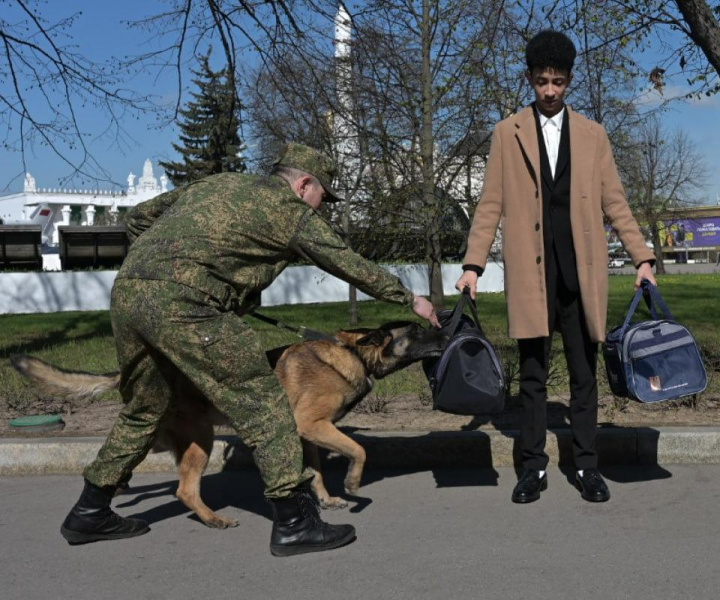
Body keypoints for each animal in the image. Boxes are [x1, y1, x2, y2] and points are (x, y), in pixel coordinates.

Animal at [14, 322, 448, 528]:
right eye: (417, 330)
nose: (445, 329)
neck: (354, 356)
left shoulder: (308, 434)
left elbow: (318, 471)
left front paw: (327, 498)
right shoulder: (314, 425)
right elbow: (358, 449)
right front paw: (355, 484)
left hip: (169, 437)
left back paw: (117, 491)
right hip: (200, 441)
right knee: (182, 488)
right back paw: (211, 519)